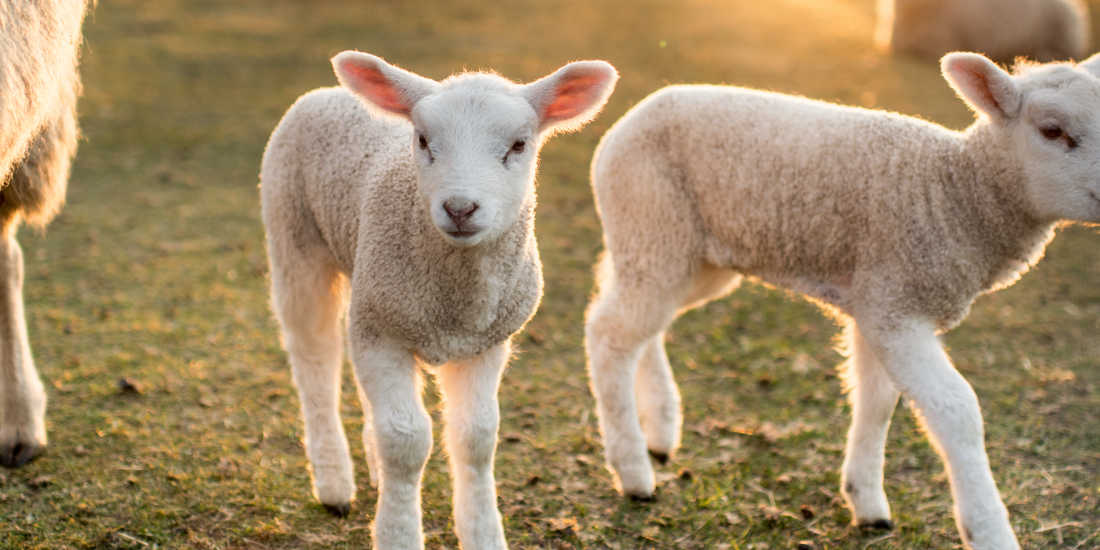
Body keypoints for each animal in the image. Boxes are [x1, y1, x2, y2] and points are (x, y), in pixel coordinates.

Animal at [261, 52, 617, 549]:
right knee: (315, 360)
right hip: (294, 237)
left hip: (365, 281)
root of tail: (327, 92)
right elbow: (406, 441)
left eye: (519, 145)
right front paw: (397, 533)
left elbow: (476, 437)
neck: (456, 304)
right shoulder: (384, 332)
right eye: (424, 140)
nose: (460, 208)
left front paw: (483, 533)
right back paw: (333, 483)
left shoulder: (484, 341)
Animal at [584, 51, 1100, 550]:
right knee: (610, 333)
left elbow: (877, 402)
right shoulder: (895, 305)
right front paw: (989, 530)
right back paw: (633, 470)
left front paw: (866, 500)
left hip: (687, 255)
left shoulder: (878, 303)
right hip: (652, 222)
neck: (953, 190)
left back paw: (660, 429)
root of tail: (631, 117)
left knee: (642, 325)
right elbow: (957, 412)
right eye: (1052, 130)